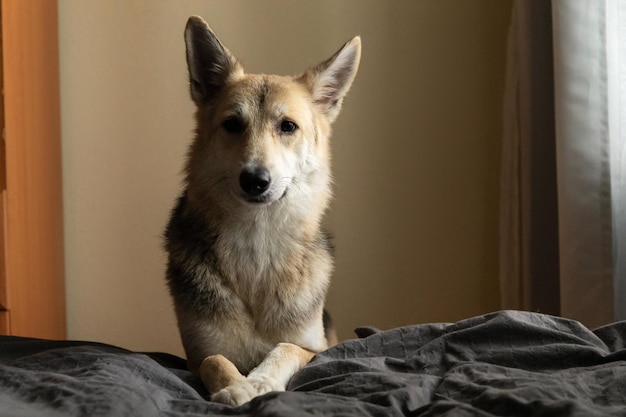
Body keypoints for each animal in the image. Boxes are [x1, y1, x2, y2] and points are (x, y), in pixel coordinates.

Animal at [165, 17, 360, 406]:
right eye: (232, 125)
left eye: (288, 126)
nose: (255, 179)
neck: (258, 241)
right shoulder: (196, 354)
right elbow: (215, 360)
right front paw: (236, 385)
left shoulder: (313, 348)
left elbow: (284, 349)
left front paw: (260, 380)